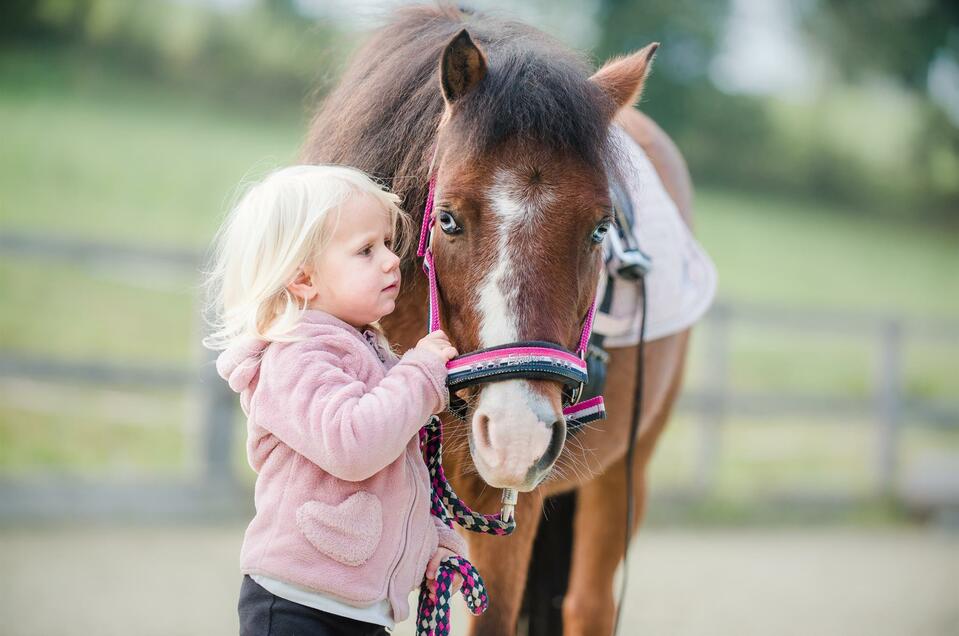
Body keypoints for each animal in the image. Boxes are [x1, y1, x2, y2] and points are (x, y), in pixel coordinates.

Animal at [304, 6, 692, 636]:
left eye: (600, 230)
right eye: (447, 219)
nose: (518, 434)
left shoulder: (512, 497)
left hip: (624, 469)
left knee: (590, 604)